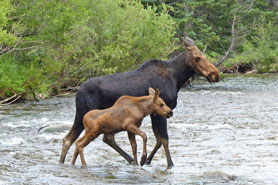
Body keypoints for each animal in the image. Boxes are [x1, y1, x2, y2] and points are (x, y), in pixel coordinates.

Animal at [59, 36, 219, 168]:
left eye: (204, 55)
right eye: (197, 58)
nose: (215, 74)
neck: (177, 78)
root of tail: (77, 92)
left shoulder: (155, 113)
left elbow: (158, 139)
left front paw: (147, 160)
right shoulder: (160, 112)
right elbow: (164, 139)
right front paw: (169, 164)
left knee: (89, 138)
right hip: (83, 114)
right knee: (71, 139)